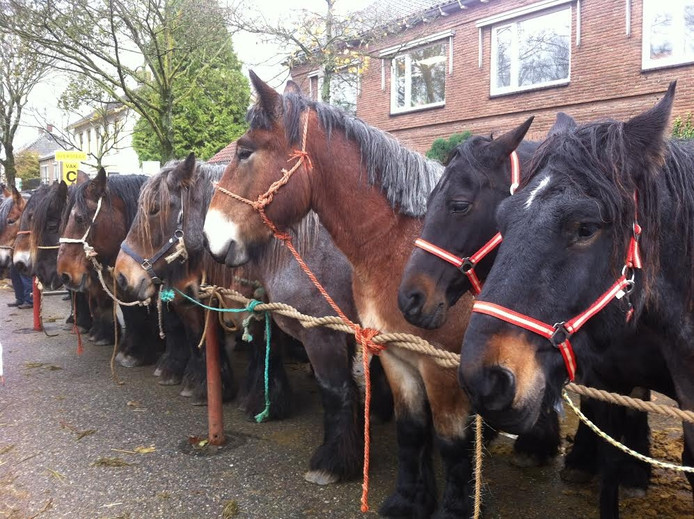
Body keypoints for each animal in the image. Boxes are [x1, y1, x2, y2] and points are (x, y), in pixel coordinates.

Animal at [115, 157, 386, 488]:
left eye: (154, 209)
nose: (121, 276)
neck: (304, 250)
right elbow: (249, 346)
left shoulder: (323, 334)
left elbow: (336, 390)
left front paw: (333, 461)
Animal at [203, 71, 560, 516]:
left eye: (245, 152)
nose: (211, 237)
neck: (393, 246)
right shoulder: (394, 355)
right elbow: (412, 430)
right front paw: (409, 499)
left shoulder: (439, 368)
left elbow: (449, 441)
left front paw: (453, 505)